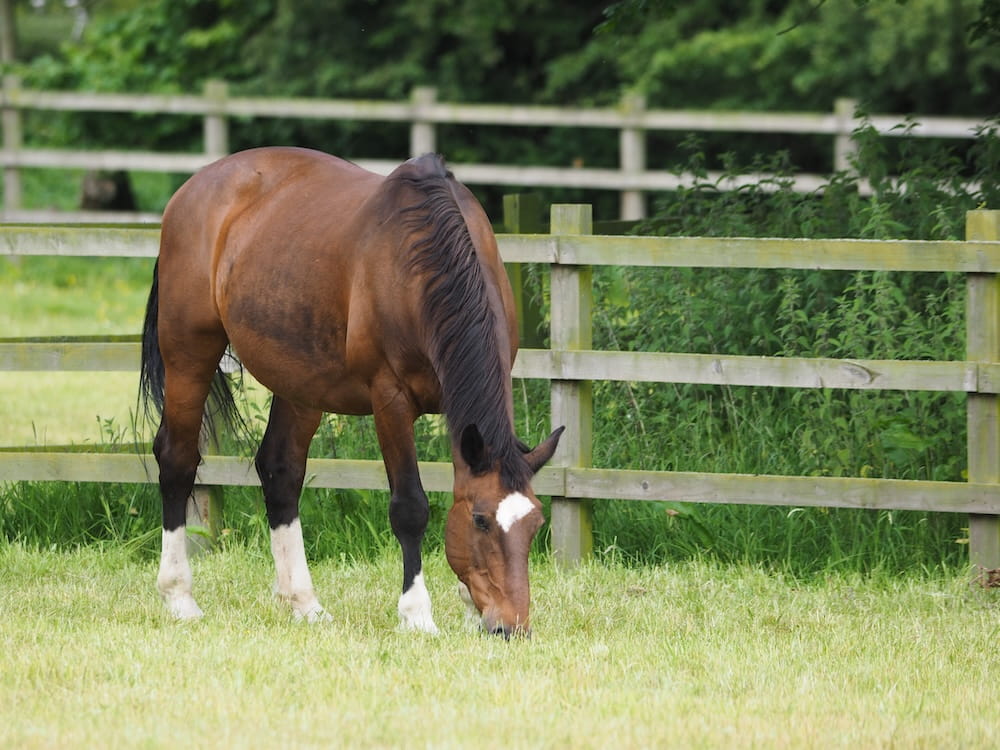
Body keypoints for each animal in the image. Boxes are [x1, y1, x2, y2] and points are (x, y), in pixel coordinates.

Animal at [139, 147, 563, 638]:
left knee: (280, 471)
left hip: (300, 381)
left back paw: (303, 602)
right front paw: (417, 615)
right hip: (189, 354)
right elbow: (410, 507)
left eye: (534, 523)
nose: (511, 627)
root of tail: (196, 186)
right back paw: (179, 596)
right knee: (177, 461)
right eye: (480, 521)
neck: (422, 267)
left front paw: (470, 605)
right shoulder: (390, 400)